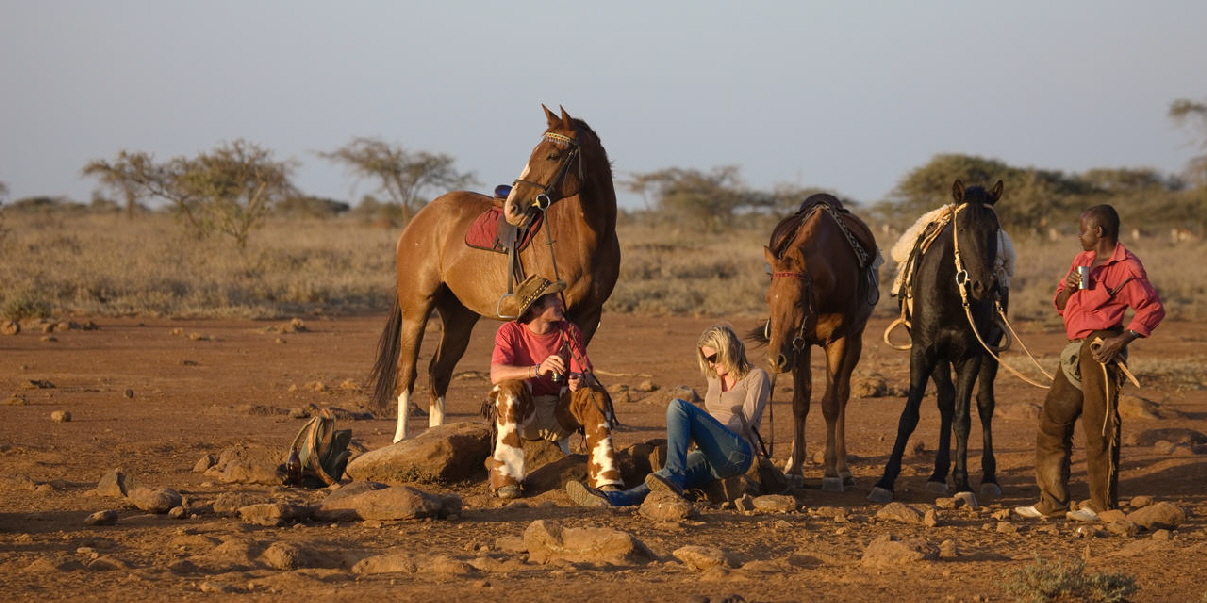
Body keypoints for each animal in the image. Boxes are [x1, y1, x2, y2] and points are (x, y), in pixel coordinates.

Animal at [366, 106, 617, 441]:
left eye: (552, 155)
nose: (514, 207)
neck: (581, 238)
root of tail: (420, 219)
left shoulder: (588, 315)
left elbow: (574, 375)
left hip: (459, 315)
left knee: (439, 370)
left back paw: (437, 434)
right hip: (416, 307)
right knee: (407, 370)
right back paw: (401, 438)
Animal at [748, 195, 883, 492]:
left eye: (799, 301)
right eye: (768, 299)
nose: (776, 359)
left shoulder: (839, 340)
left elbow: (831, 403)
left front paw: (831, 474)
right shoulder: (801, 344)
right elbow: (800, 402)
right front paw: (794, 469)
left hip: (855, 341)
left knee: (843, 394)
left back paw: (843, 469)